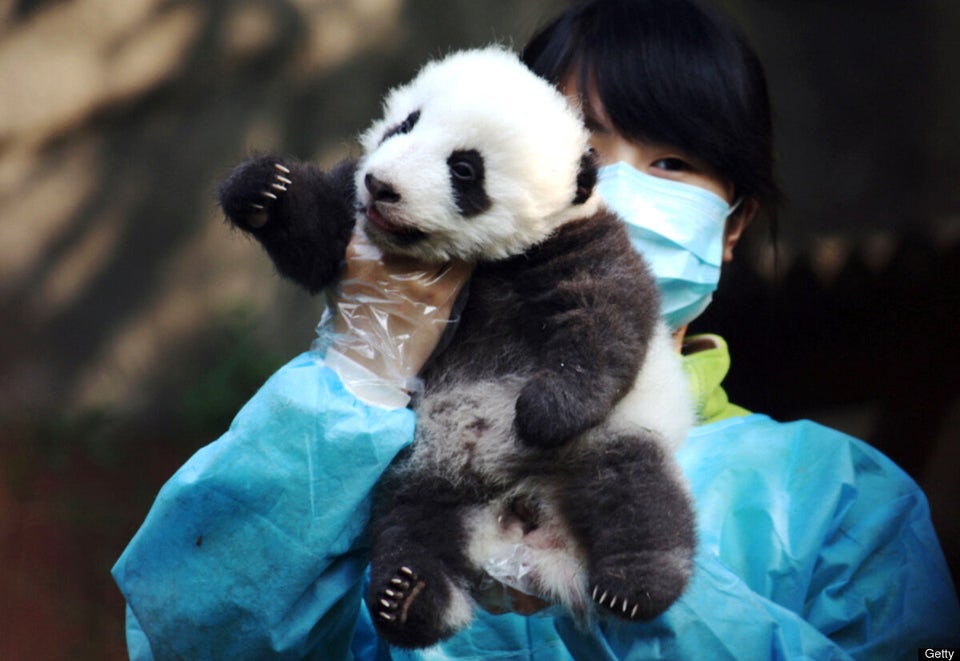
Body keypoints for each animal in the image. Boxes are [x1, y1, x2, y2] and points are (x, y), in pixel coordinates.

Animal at [218, 47, 696, 648]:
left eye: (465, 170)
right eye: (404, 125)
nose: (381, 186)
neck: (484, 262)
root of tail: (517, 515)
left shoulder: (578, 244)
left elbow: (605, 320)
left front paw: (545, 411)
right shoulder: (352, 214)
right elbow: (316, 244)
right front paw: (265, 189)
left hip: (611, 439)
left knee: (634, 496)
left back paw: (634, 584)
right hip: (421, 473)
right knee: (414, 529)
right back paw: (409, 597)